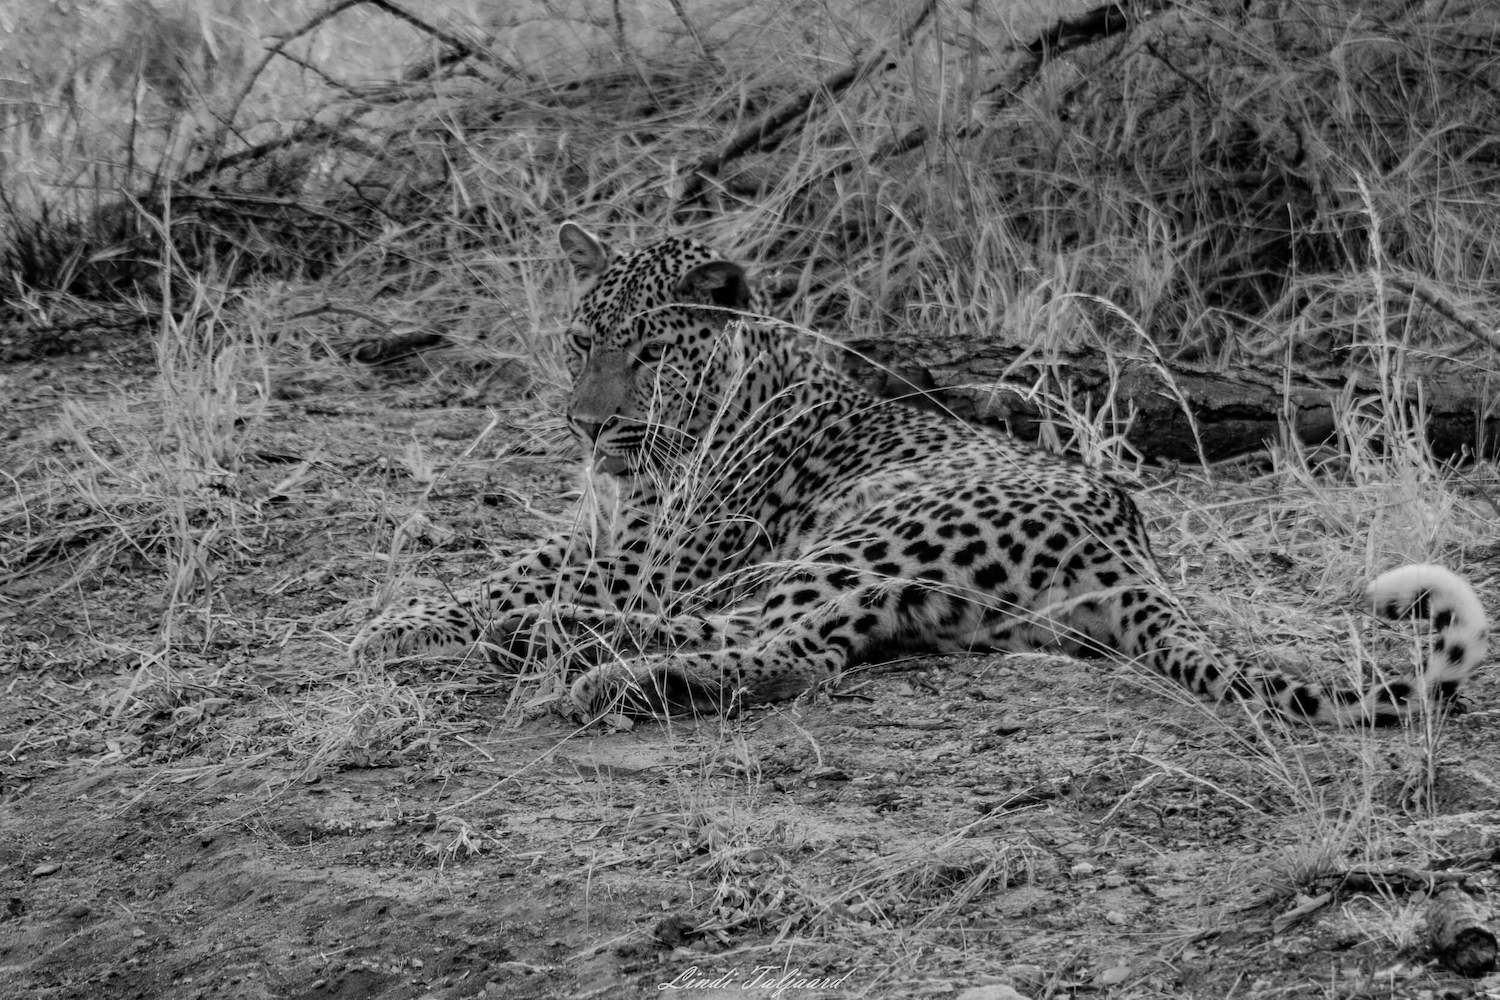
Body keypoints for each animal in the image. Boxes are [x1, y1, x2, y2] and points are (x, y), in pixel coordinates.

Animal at [349, 221, 1489, 727]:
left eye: (649, 353)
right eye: (584, 340)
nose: (586, 425)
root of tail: (1133, 551)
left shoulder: (655, 559)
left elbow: (536, 582)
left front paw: (410, 629)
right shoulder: (604, 534)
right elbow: (503, 565)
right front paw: (402, 618)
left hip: (868, 533)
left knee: (772, 638)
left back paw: (576, 658)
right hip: (889, 582)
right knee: (792, 646)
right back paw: (578, 654)